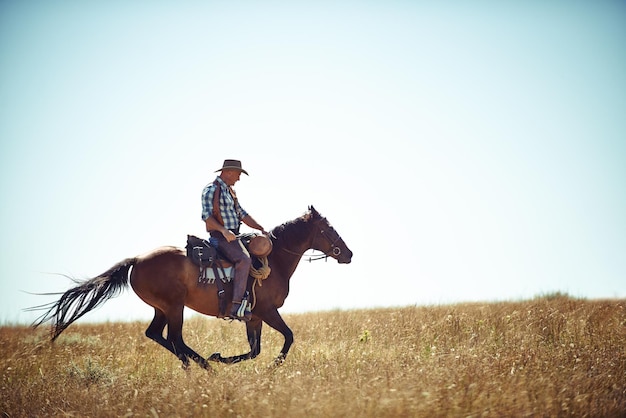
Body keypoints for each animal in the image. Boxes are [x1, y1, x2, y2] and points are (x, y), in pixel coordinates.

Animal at [31, 206, 352, 370]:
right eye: (328, 229)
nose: (348, 254)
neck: (273, 259)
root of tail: (137, 259)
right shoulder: (267, 310)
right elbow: (287, 338)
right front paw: (266, 365)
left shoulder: (255, 316)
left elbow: (255, 350)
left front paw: (224, 358)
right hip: (174, 307)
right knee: (175, 338)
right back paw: (204, 365)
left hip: (162, 308)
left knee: (157, 335)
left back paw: (195, 364)